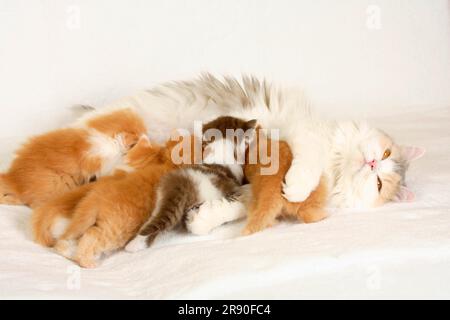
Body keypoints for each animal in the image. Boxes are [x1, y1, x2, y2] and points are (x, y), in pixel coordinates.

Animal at [0, 107, 146, 208]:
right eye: (136, 140)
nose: (147, 137)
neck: (105, 134)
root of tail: (13, 179)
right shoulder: (99, 160)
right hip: (58, 183)